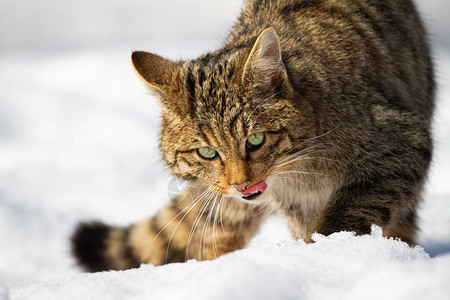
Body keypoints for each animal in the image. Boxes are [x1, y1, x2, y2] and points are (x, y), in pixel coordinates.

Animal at [72, 0, 434, 272]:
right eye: (207, 153)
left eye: (255, 141)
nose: (241, 184)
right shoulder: (295, 205)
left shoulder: (402, 142)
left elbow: (347, 212)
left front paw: (327, 251)